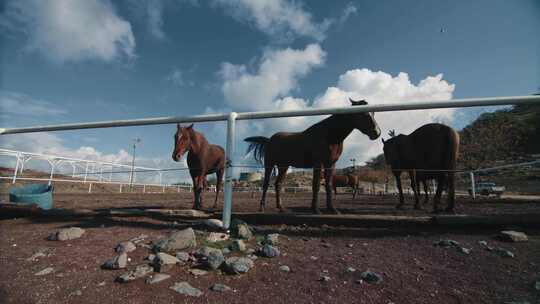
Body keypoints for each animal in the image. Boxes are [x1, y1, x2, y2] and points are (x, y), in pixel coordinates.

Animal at [245, 99, 380, 214]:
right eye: (364, 113)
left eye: (373, 113)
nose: (377, 133)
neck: (330, 136)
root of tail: (269, 140)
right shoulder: (318, 163)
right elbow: (316, 185)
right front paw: (315, 210)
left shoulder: (331, 164)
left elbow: (329, 185)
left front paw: (332, 209)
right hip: (269, 164)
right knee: (266, 184)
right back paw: (262, 207)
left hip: (283, 166)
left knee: (278, 184)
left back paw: (281, 208)